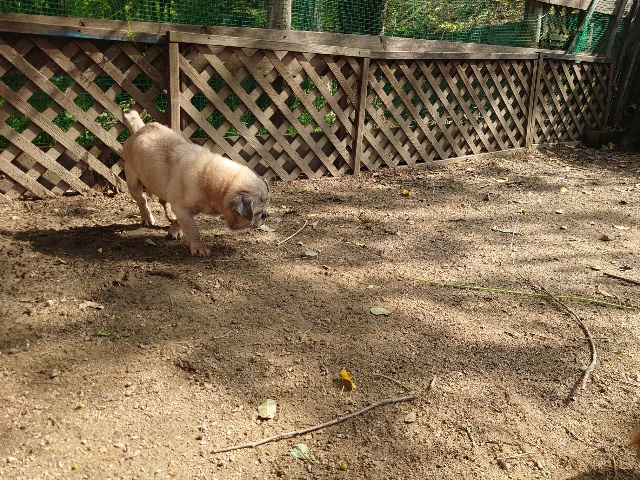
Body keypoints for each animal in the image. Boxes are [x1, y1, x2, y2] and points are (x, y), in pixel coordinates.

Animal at [122, 110, 270, 256]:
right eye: (257, 212)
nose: (265, 215)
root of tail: (139, 130)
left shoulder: (182, 211)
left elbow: (179, 222)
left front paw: (174, 231)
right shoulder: (183, 210)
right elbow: (193, 230)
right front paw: (199, 248)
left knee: (164, 201)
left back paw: (170, 215)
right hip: (133, 184)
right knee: (142, 200)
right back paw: (147, 218)